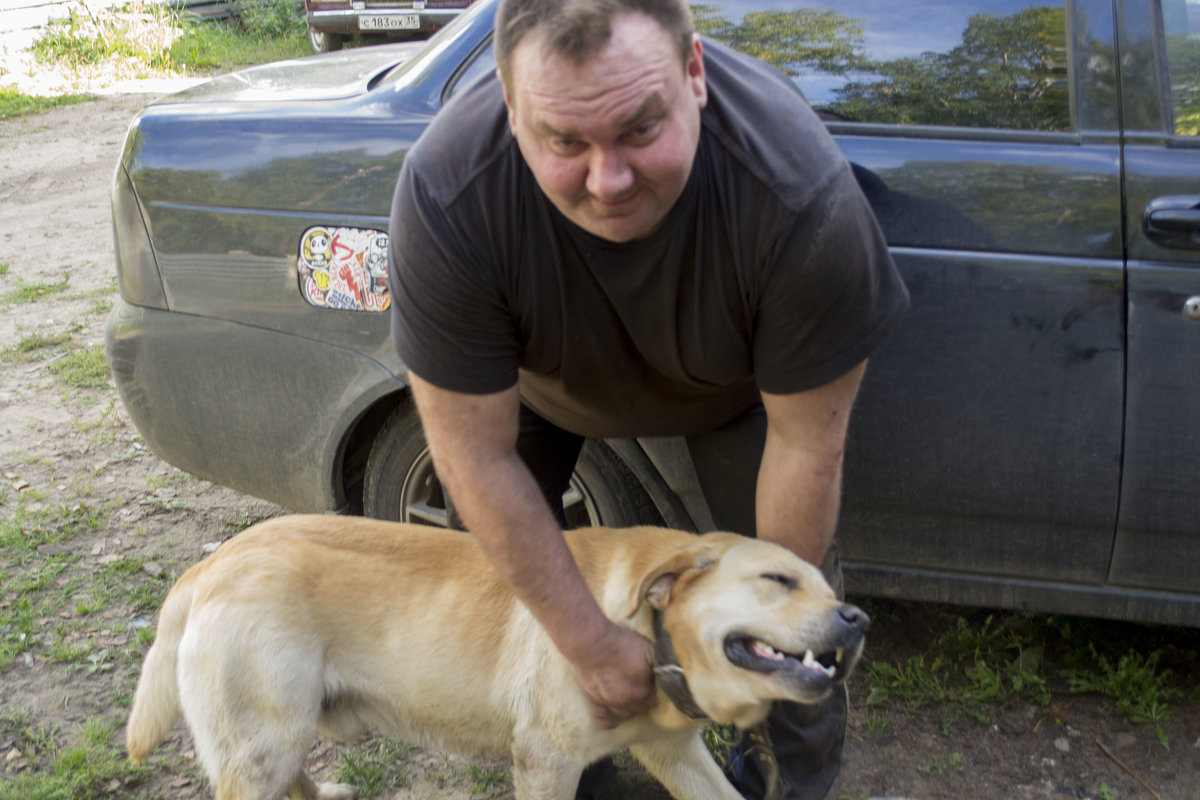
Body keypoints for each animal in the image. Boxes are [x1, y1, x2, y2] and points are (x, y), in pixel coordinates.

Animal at [126, 515, 868, 796]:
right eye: (778, 580)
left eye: (831, 588)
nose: (858, 619)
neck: (640, 627)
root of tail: (210, 565)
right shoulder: (544, 760)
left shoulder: (677, 753)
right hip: (264, 744)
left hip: (279, 737)